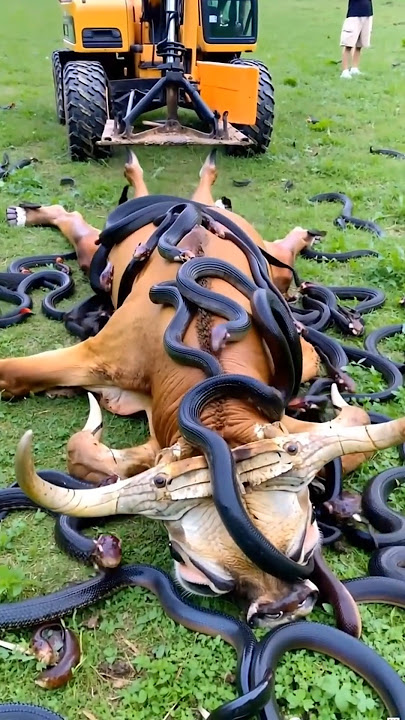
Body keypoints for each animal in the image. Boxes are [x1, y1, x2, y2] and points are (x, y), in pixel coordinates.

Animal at [3, 151, 404, 628]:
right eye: (201, 579)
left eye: (308, 544)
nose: (285, 607)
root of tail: (189, 205)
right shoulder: (97, 355)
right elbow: (27, 390)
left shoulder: (301, 358)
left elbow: (355, 421)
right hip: (96, 256)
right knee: (81, 226)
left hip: (274, 270)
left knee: (280, 250)